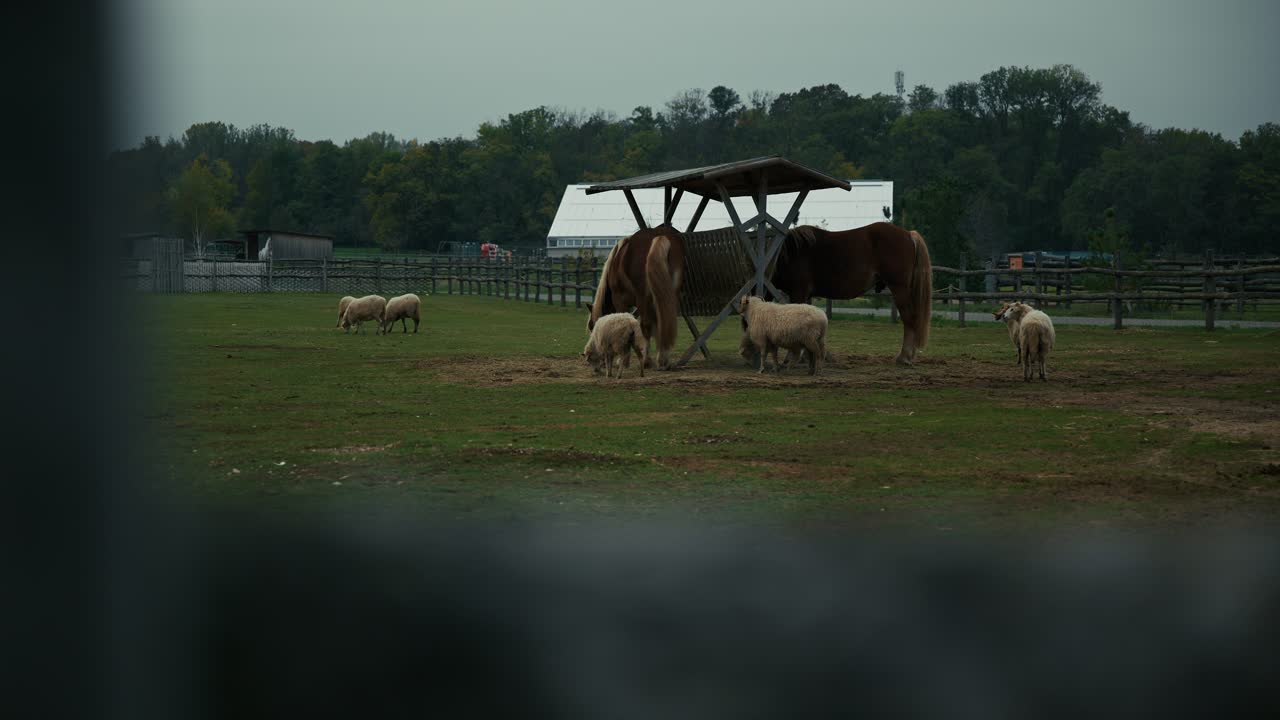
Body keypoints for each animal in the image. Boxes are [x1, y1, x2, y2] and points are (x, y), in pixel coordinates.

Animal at [588, 225, 686, 369]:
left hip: (643, 298)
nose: (597, 363)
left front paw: (623, 361)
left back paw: (646, 361)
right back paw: (664, 360)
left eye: (592, 327)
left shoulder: (620, 300)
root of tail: (659, 236)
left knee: (645, 326)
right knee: (664, 322)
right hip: (669, 295)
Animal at [769, 222, 933, 366]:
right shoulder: (806, 296)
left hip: (899, 289)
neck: (790, 253)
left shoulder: (798, 292)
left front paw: (791, 357)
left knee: (909, 320)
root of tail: (908, 234)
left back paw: (904, 357)